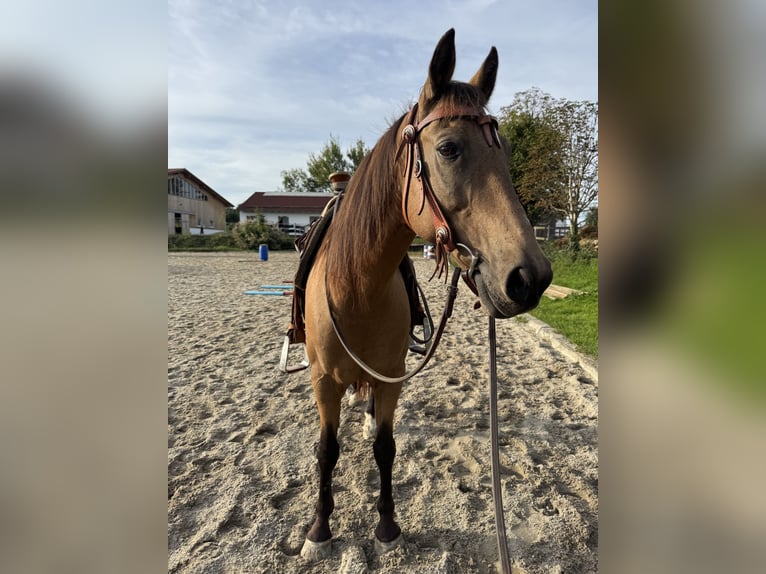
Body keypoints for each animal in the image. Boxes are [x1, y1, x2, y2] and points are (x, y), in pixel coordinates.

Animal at [299, 28, 553, 560]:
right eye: (449, 148)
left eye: (505, 150)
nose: (531, 277)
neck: (355, 289)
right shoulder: (323, 381)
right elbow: (327, 451)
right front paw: (320, 528)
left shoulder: (392, 379)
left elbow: (385, 447)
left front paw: (387, 525)